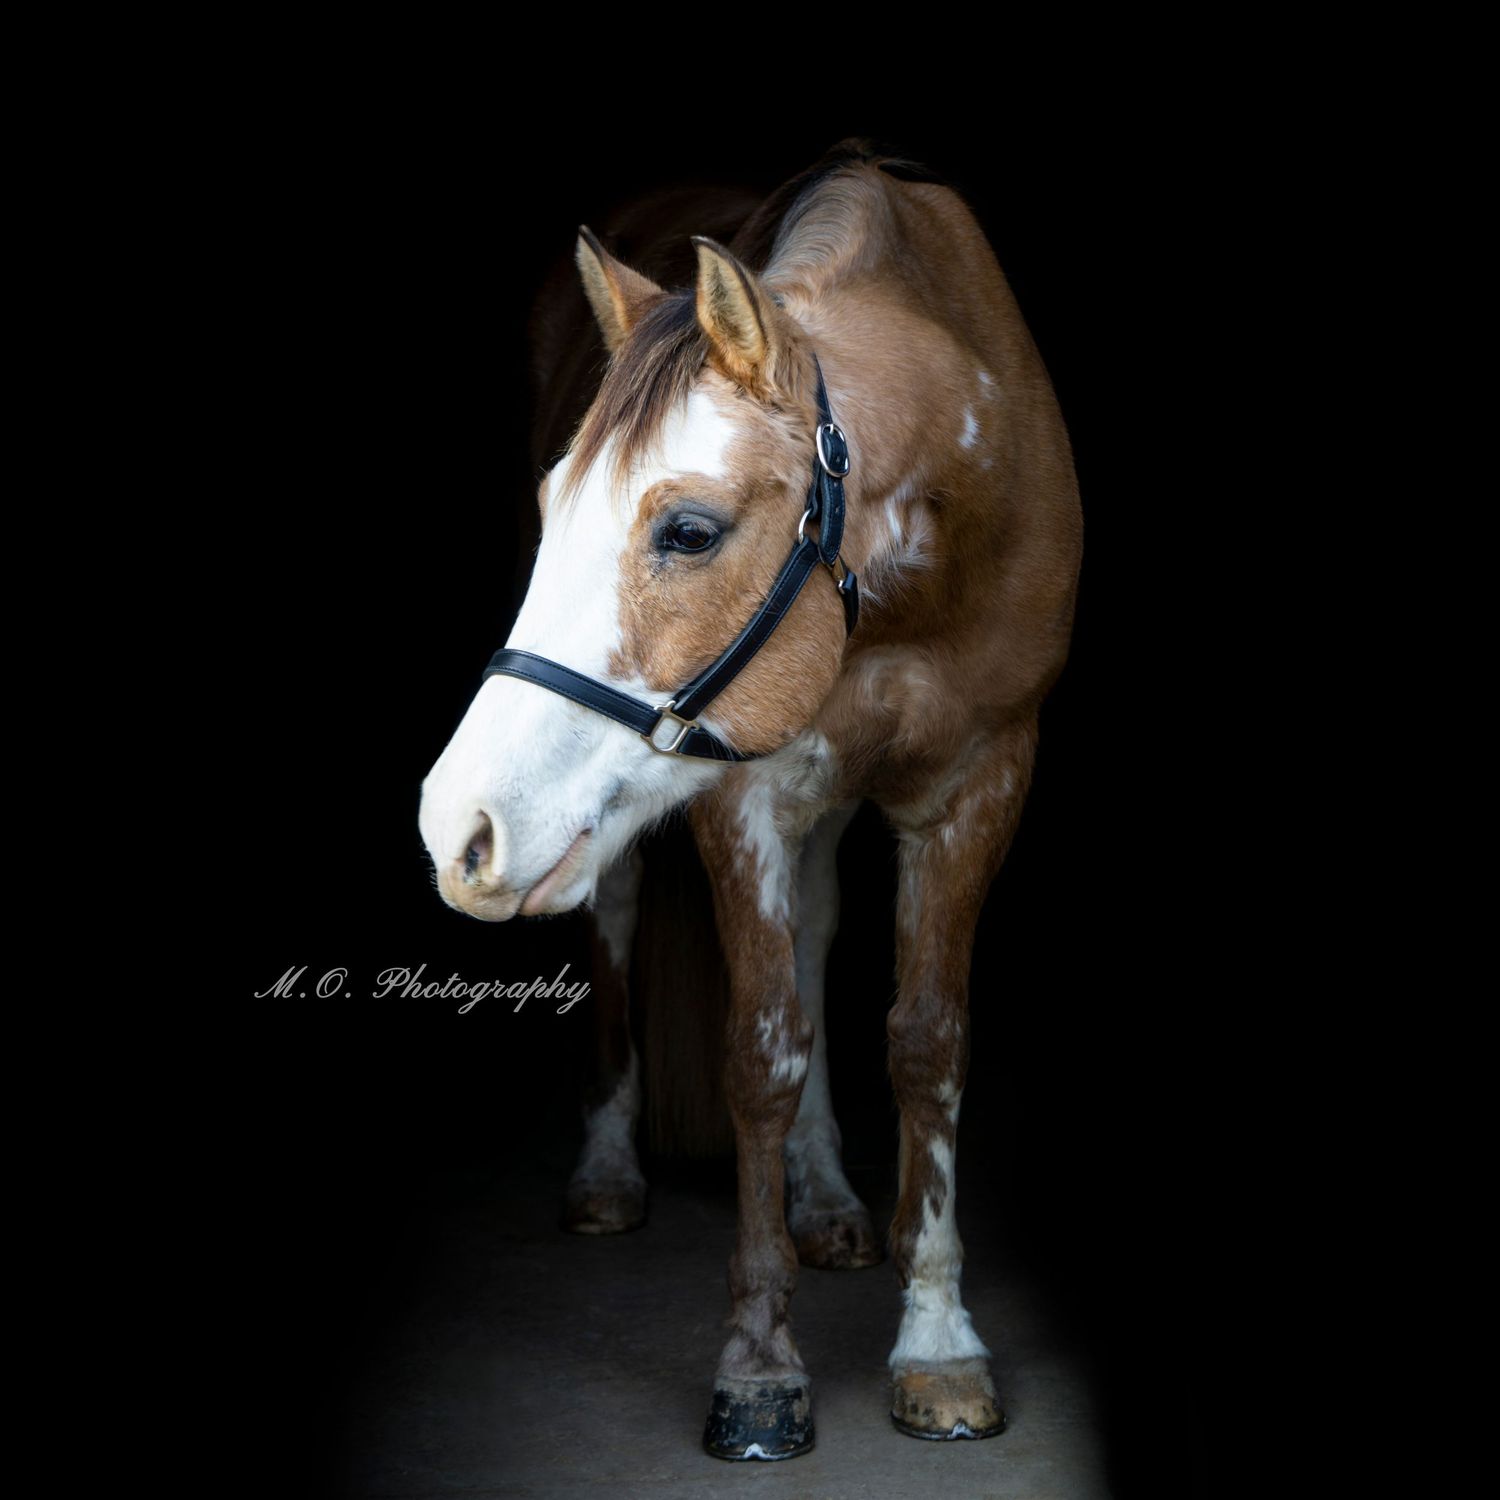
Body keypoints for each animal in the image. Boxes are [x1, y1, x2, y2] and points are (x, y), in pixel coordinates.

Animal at [418, 136, 1083, 1461]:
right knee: (619, 924)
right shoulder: (745, 795)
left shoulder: (982, 778)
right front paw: (763, 1369)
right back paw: (611, 1173)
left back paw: (828, 1201)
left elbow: (927, 1043)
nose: (455, 825)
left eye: (688, 529)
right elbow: (762, 1052)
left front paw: (938, 1342)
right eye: (551, 510)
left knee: (822, 939)